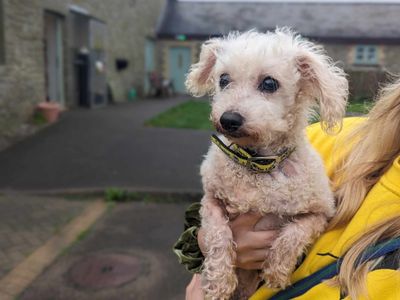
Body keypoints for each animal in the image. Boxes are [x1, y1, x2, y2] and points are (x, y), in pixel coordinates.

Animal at [186, 28, 348, 300]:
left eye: (269, 83)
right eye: (224, 79)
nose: (228, 119)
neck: (258, 163)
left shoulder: (321, 213)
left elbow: (294, 233)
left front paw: (277, 271)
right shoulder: (211, 201)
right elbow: (218, 235)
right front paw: (219, 281)